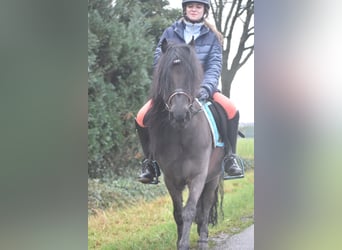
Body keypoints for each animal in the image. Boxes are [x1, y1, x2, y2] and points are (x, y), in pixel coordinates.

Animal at [146, 39, 226, 250]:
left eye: (192, 74)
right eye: (166, 76)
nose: (180, 114)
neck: (181, 135)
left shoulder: (198, 176)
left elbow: (190, 211)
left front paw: (184, 243)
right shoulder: (171, 179)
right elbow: (178, 213)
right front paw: (179, 241)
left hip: (212, 178)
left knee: (205, 209)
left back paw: (203, 240)